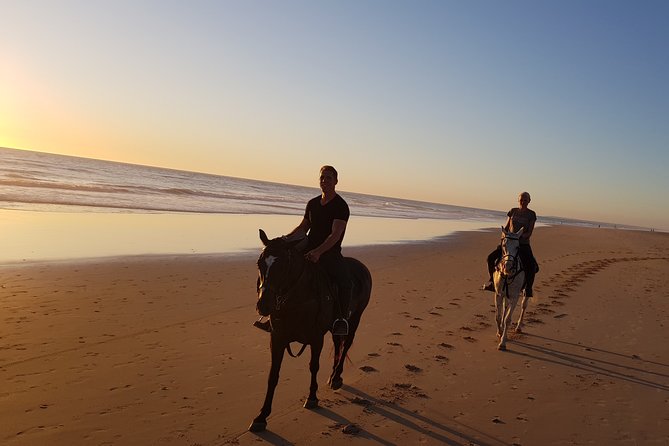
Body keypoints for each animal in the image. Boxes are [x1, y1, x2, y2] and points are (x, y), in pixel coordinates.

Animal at [250, 230, 374, 432]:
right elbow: (273, 375)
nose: (263, 305)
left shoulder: (316, 338)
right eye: (259, 263)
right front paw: (262, 416)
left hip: (355, 318)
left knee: (346, 345)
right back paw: (333, 375)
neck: (298, 297)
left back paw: (336, 377)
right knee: (338, 344)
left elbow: (313, 366)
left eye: (283, 265)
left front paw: (312, 398)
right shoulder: (277, 339)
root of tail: (361, 266)